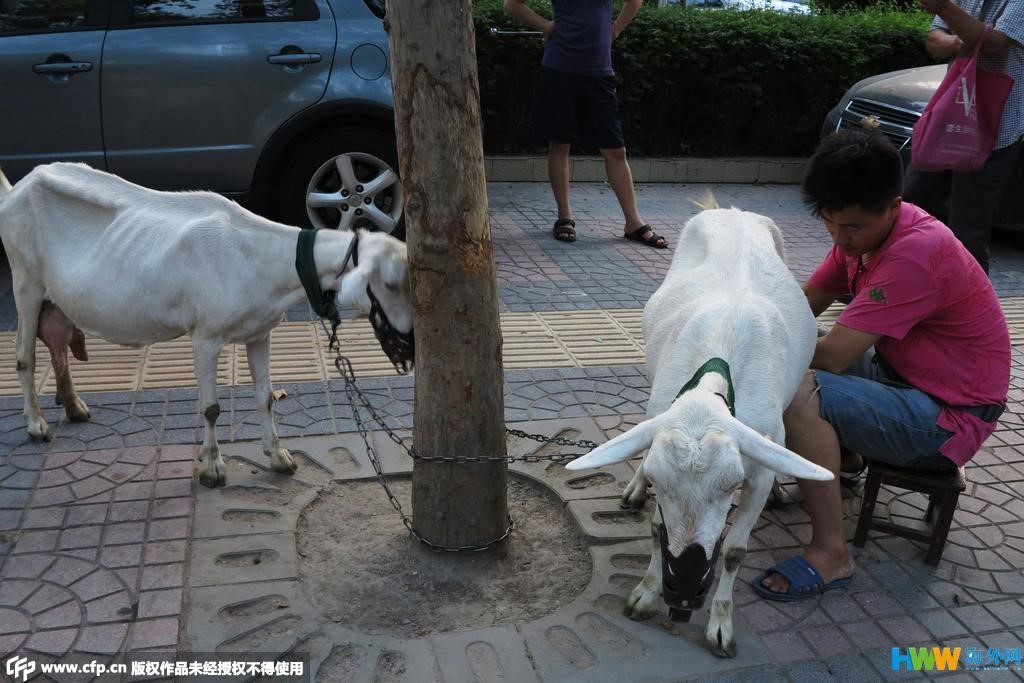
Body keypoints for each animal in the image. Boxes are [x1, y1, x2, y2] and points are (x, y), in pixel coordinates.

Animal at [4, 163, 411, 489]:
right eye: (391, 283)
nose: (410, 344)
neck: (257, 255)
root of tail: (18, 188)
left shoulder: (260, 332)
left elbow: (265, 397)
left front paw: (279, 457)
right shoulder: (206, 338)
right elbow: (211, 408)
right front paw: (212, 468)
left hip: (56, 297)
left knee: (57, 343)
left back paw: (74, 405)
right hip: (25, 282)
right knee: (24, 355)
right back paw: (37, 425)